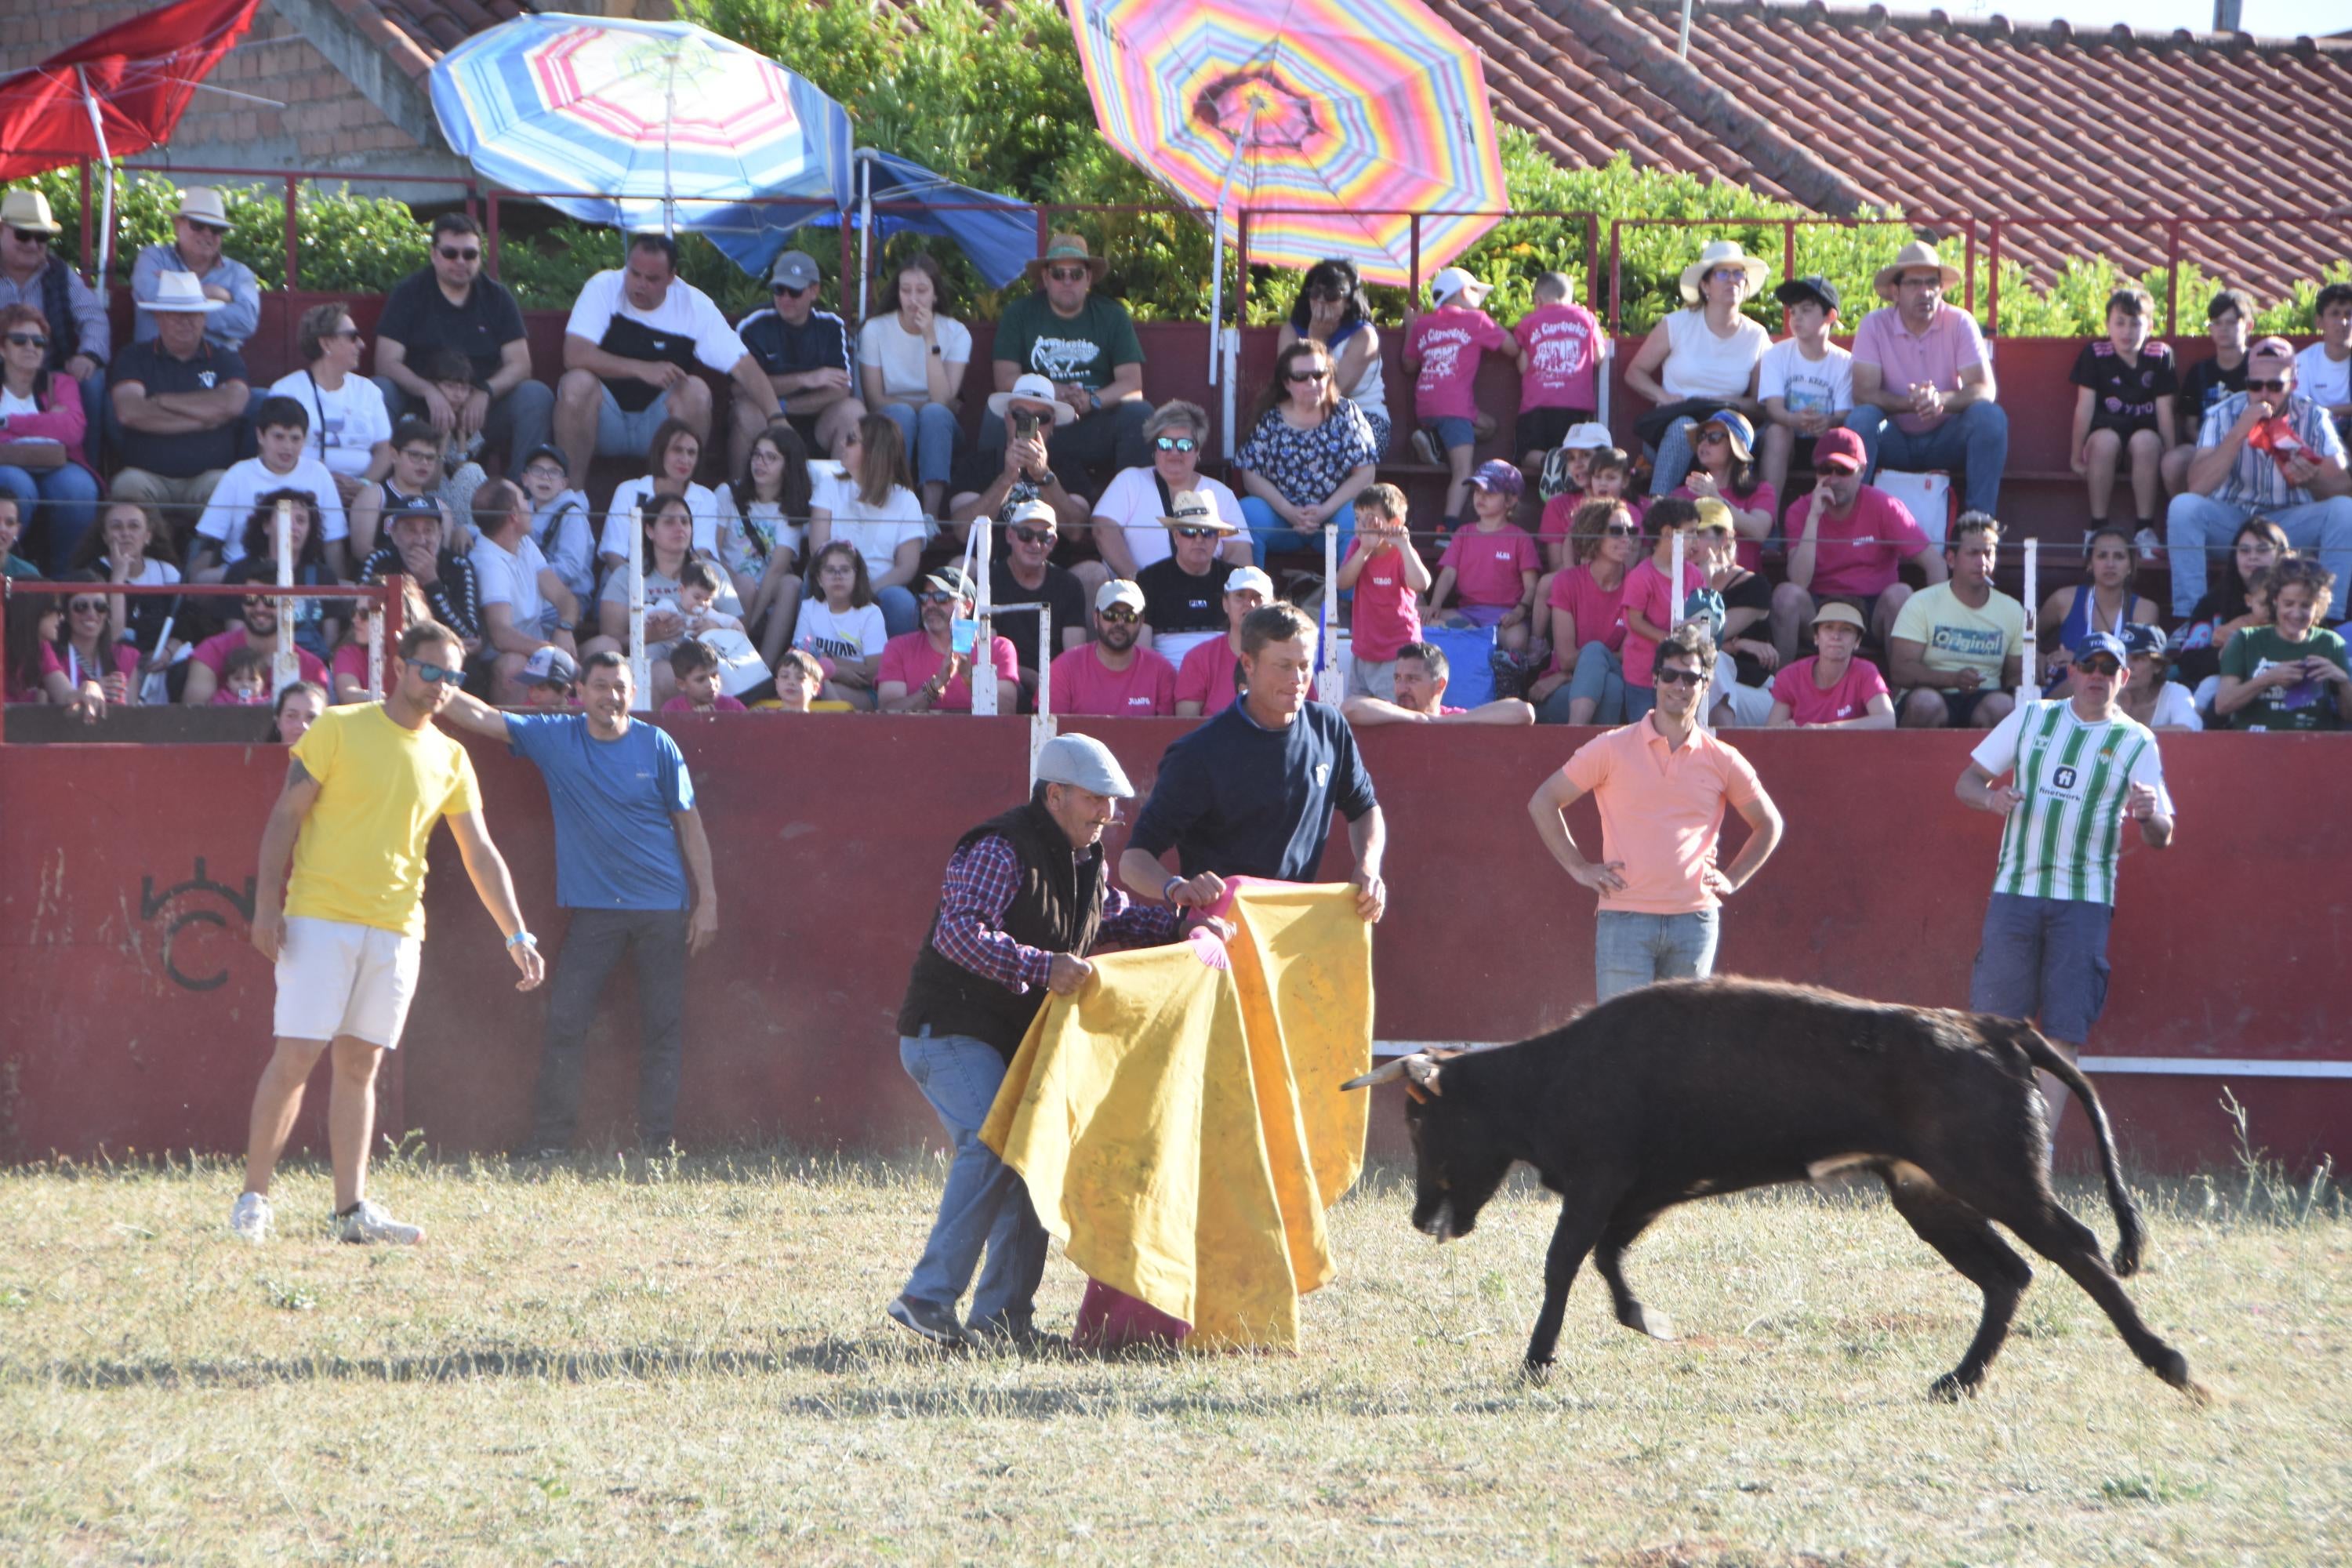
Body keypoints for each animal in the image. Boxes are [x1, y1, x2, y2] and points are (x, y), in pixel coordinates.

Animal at [1345, 973, 2201, 1401]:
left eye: (1420, 1120)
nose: (1421, 1216)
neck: (1555, 1072)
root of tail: (1997, 1028)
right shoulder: (1643, 1189)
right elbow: (1609, 1258)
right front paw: (1646, 1318)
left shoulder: (1598, 1179)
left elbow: (1564, 1263)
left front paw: (1536, 1361)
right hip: (1930, 1193)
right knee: (2009, 1274)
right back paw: (1957, 1381)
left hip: (1998, 1178)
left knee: (2078, 1249)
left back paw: (2168, 1361)